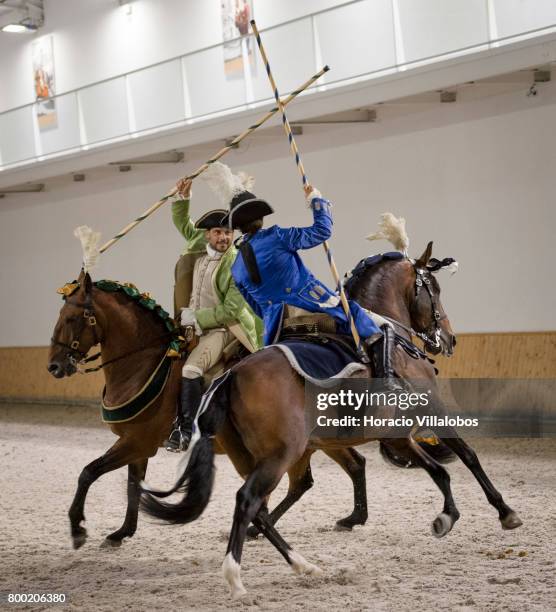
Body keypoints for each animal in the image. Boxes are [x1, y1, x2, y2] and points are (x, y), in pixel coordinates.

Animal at [46, 270, 378, 548]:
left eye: (73, 317)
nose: (55, 367)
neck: (145, 363)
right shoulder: (136, 444)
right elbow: (131, 485)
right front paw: (122, 532)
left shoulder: (137, 442)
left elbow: (89, 472)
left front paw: (78, 528)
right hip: (319, 440)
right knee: (342, 468)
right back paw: (349, 518)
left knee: (317, 477)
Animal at [138, 243, 520, 596]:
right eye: (434, 290)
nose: (450, 339)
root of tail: (231, 375)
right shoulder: (430, 410)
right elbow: (467, 455)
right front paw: (502, 511)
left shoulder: (396, 434)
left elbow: (438, 469)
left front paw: (448, 516)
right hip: (282, 454)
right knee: (249, 500)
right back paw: (237, 576)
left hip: (255, 456)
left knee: (267, 504)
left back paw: (305, 563)